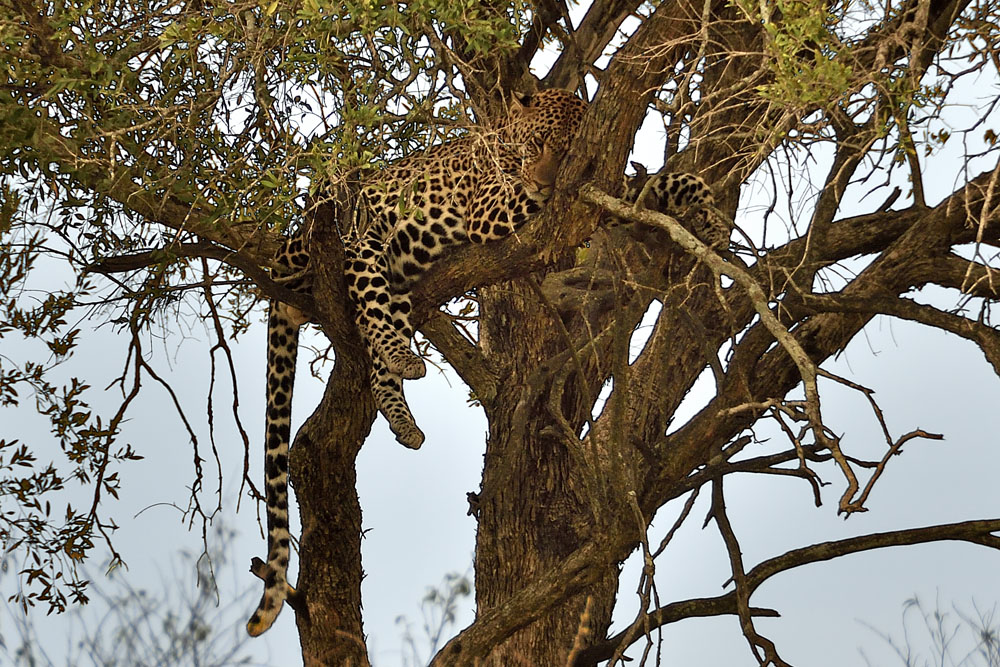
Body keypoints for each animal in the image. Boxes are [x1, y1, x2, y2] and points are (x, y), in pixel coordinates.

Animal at [246, 88, 588, 637]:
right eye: (538, 145)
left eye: (564, 149)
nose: (542, 179)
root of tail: (283, 252)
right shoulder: (488, 207)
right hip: (353, 235)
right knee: (368, 300)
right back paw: (405, 360)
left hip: (399, 280)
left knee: (378, 340)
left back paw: (405, 416)